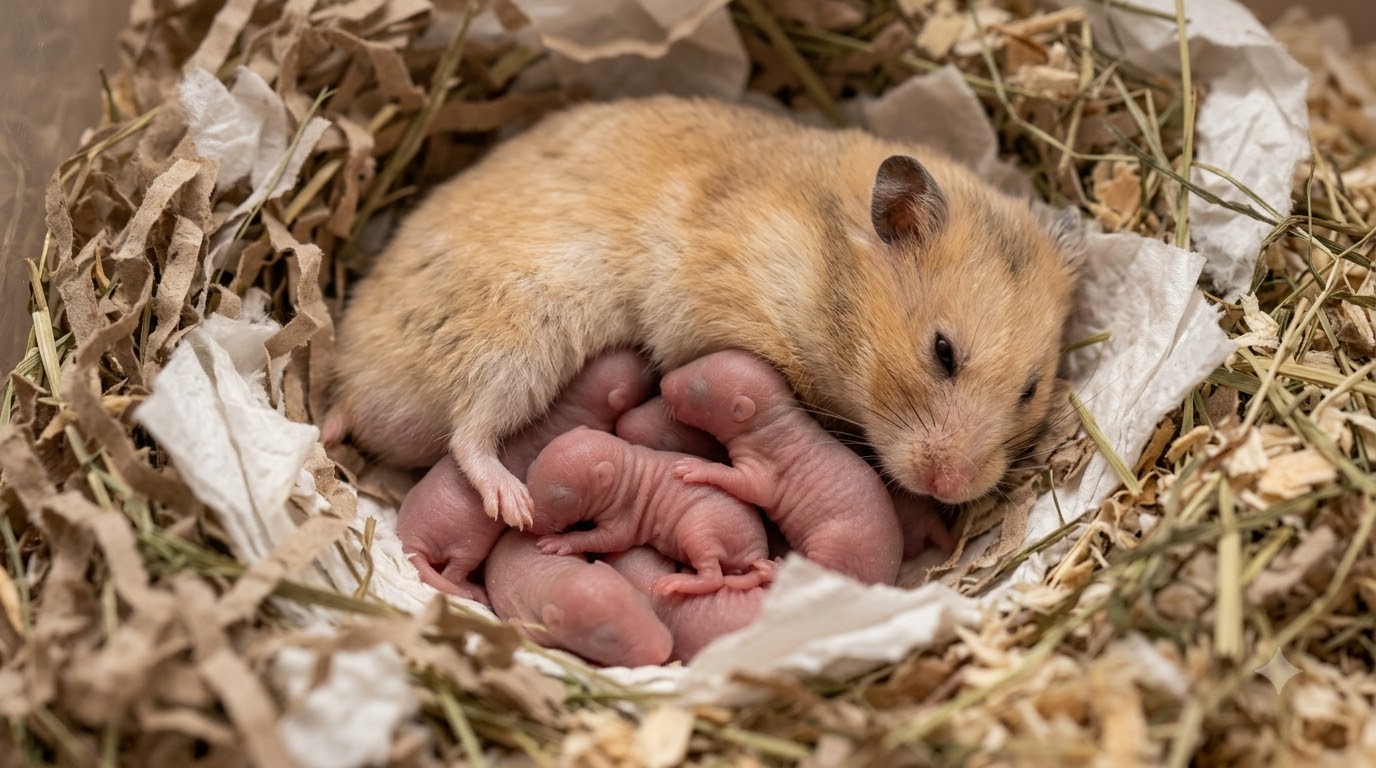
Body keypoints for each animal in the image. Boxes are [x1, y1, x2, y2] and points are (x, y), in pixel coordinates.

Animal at [327, 95, 1082, 529]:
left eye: (1030, 391)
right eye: (942, 352)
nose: (952, 489)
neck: (826, 276)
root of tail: (353, 388)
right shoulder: (708, 318)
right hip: (514, 343)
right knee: (468, 436)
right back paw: (515, 506)